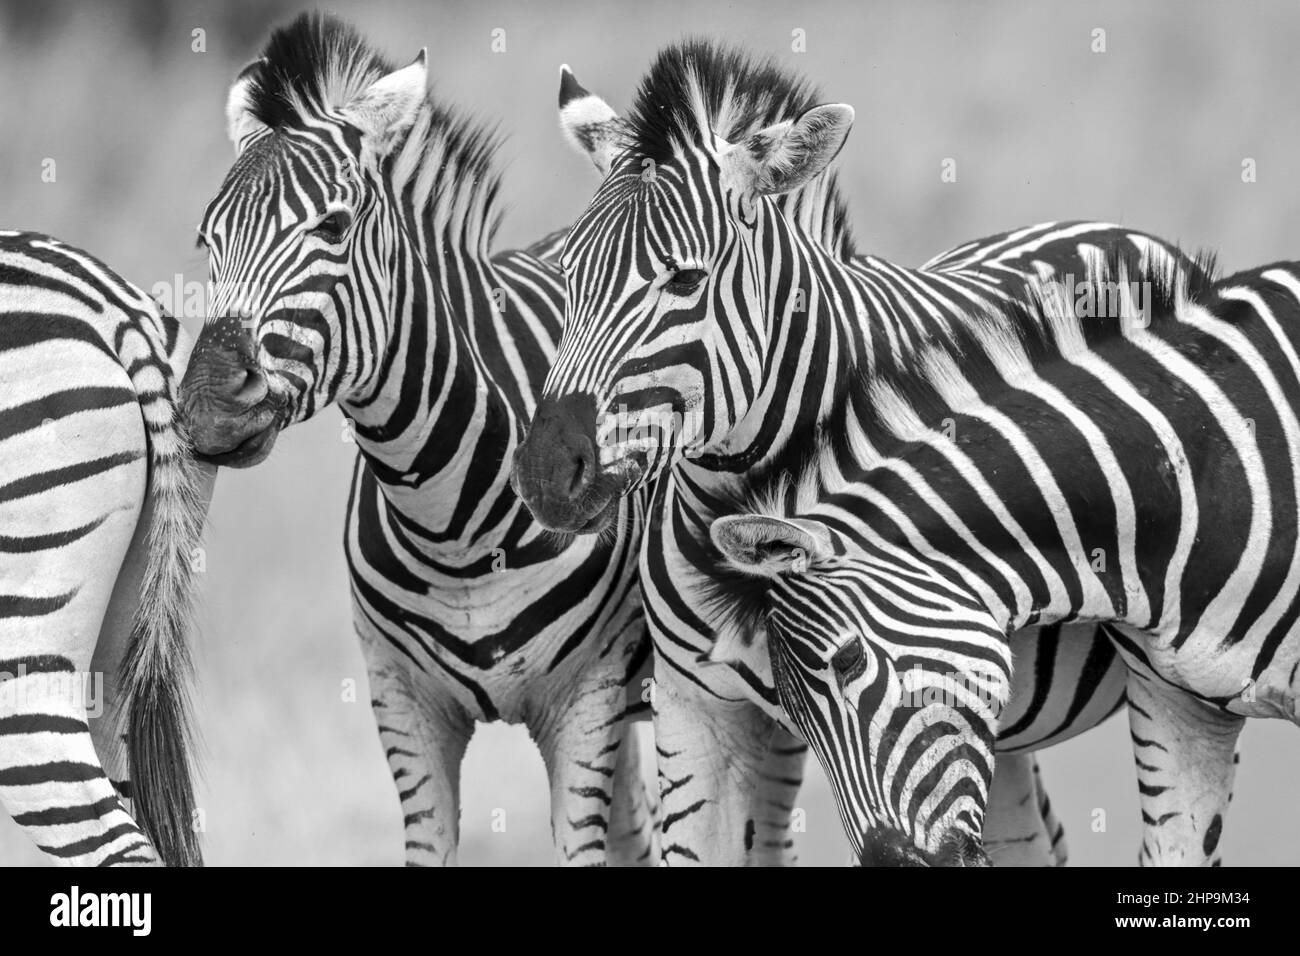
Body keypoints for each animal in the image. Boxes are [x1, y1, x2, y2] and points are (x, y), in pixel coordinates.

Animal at [177, 14, 655, 866]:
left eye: (333, 226)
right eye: (208, 240)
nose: (207, 408)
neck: (451, 524)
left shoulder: (588, 699)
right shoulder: (403, 706)